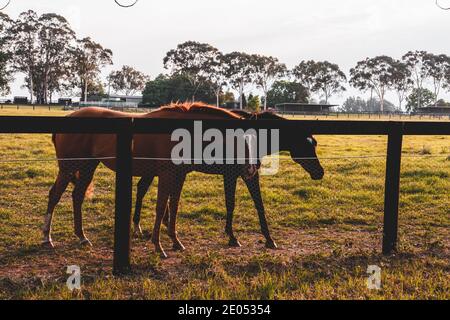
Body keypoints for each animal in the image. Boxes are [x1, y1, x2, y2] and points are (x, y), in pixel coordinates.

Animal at [46, 104, 258, 258]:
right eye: (242, 141)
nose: (251, 169)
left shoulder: (178, 176)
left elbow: (173, 207)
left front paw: (175, 241)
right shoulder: (166, 175)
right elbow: (161, 207)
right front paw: (158, 246)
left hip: (88, 167)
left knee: (77, 196)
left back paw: (82, 237)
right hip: (69, 168)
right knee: (54, 196)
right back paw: (47, 238)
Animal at [132, 110, 326, 250]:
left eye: (314, 143)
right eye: (306, 145)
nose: (320, 172)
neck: (251, 138)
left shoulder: (247, 174)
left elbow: (256, 203)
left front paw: (268, 238)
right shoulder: (234, 175)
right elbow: (233, 203)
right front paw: (234, 237)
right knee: (142, 189)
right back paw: (139, 227)